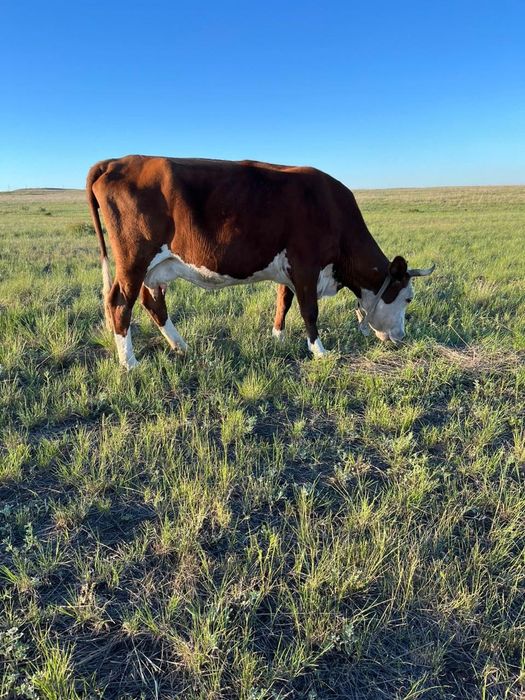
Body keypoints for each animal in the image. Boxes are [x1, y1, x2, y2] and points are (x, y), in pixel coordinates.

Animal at [86, 155, 434, 369]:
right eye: (408, 297)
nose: (401, 337)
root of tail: (116, 161)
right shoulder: (306, 265)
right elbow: (309, 310)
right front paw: (319, 351)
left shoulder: (289, 269)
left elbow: (284, 302)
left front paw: (278, 338)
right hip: (134, 259)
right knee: (120, 303)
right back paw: (130, 363)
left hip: (155, 268)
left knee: (153, 303)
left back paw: (181, 346)